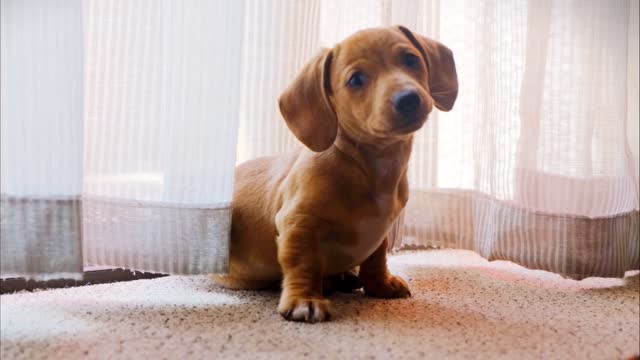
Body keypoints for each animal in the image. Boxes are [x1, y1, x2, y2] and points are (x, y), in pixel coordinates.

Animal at [214, 26, 456, 324]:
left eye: (411, 59)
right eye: (356, 79)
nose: (408, 99)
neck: (371, 166)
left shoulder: (381, 231)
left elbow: (377, 258)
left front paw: (380, 284)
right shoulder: (298, 222)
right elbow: (303, 263)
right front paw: (304, 299)